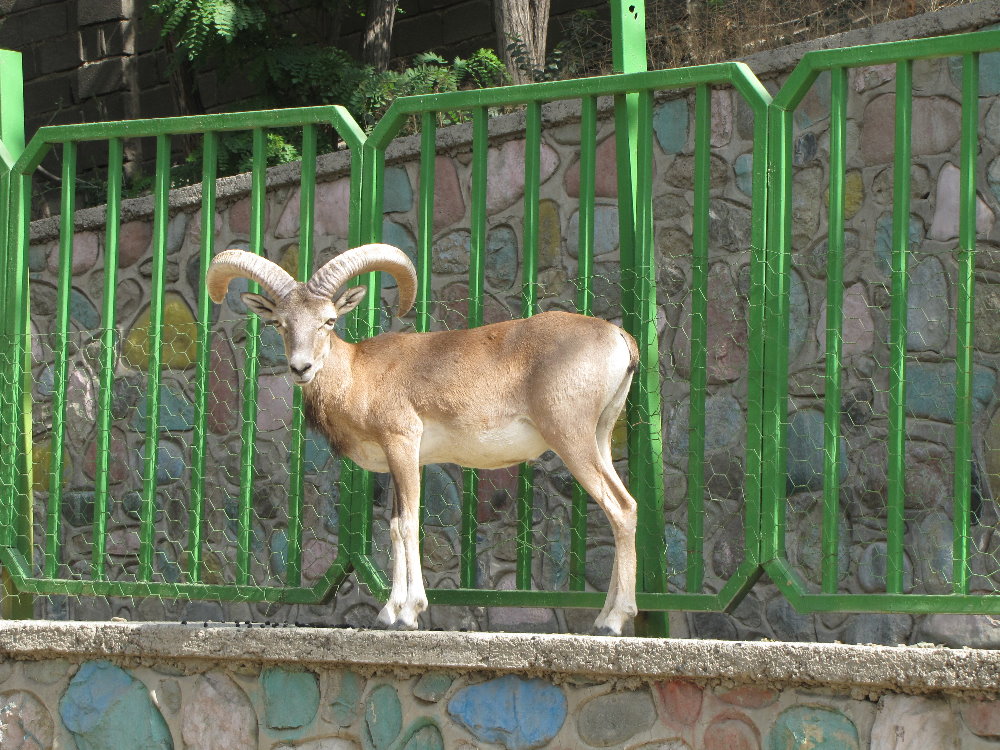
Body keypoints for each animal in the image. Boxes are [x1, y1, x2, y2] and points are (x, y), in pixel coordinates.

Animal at [207, 243, 640, 634]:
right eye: (279, 323)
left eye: (328, 320)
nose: (301, 368)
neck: (359, 375)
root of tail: (620, 338)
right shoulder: (400, 460)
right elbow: (394, 526)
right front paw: (389, 613)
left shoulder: (402, 442)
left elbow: (407, 524)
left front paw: (408, 614)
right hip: (599, 436)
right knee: (625, 505)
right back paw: (605, 617)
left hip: (570, 436)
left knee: (620, 508)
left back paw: (613, 622)